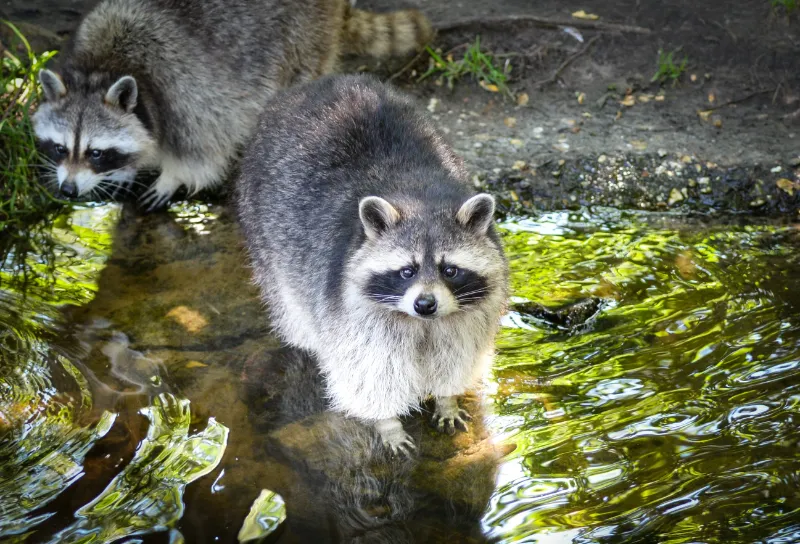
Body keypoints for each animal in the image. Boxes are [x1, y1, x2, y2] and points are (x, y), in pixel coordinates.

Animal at [32, 0, 432, 208]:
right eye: (59, 148)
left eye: (96, 152)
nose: (67, 191)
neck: (103, 67)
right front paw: (130, 168)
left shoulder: (182, 90)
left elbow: (202, 153)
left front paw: (170, 177)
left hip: (304, 38)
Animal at [234, 74, 510, 452]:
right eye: (407, 270)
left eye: (449, 270)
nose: (425, 304)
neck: (420, 198)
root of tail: (319, 83)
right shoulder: (350, 309)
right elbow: (369, 371)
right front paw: (387, 422)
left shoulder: (471, 316)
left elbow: (457, 355)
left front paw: (447, 398)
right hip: (261, 229)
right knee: (294, 312)